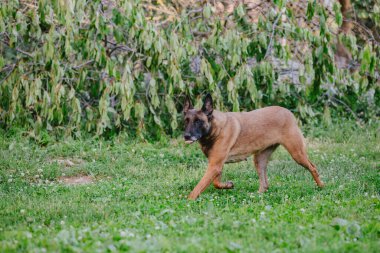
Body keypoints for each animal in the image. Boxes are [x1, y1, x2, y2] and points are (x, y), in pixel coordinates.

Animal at [183, 94, 324, 201]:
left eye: (198, 121)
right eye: (186, 120)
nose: (186, 136)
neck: (215, 128)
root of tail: (287, 111)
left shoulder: (214, 166)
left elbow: (198, 187)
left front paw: (189, 200)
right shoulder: (216, 165)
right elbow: (216, 183)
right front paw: (228, 185)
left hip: (297, 153)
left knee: (313, 167)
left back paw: (321, 186)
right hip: (259, 159)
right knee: (265, 184)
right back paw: (257, 196)